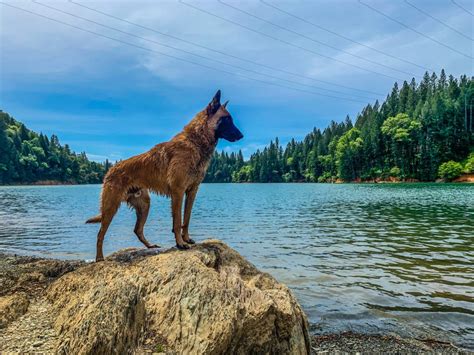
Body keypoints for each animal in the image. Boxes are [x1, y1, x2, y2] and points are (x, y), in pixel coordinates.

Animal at [85, 89, 243, 262]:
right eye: (227, 119)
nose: (241, 135)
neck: (195, 142)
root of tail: (110, 170)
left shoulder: (192, 191)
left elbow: (186, 219)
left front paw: (186, 239)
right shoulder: (178, 192)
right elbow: (177, 221)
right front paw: (180, 244)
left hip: (144, 205)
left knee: (137, 230)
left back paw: (150, 246)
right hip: (111, 207)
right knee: (100, 234)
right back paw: (99, 258)